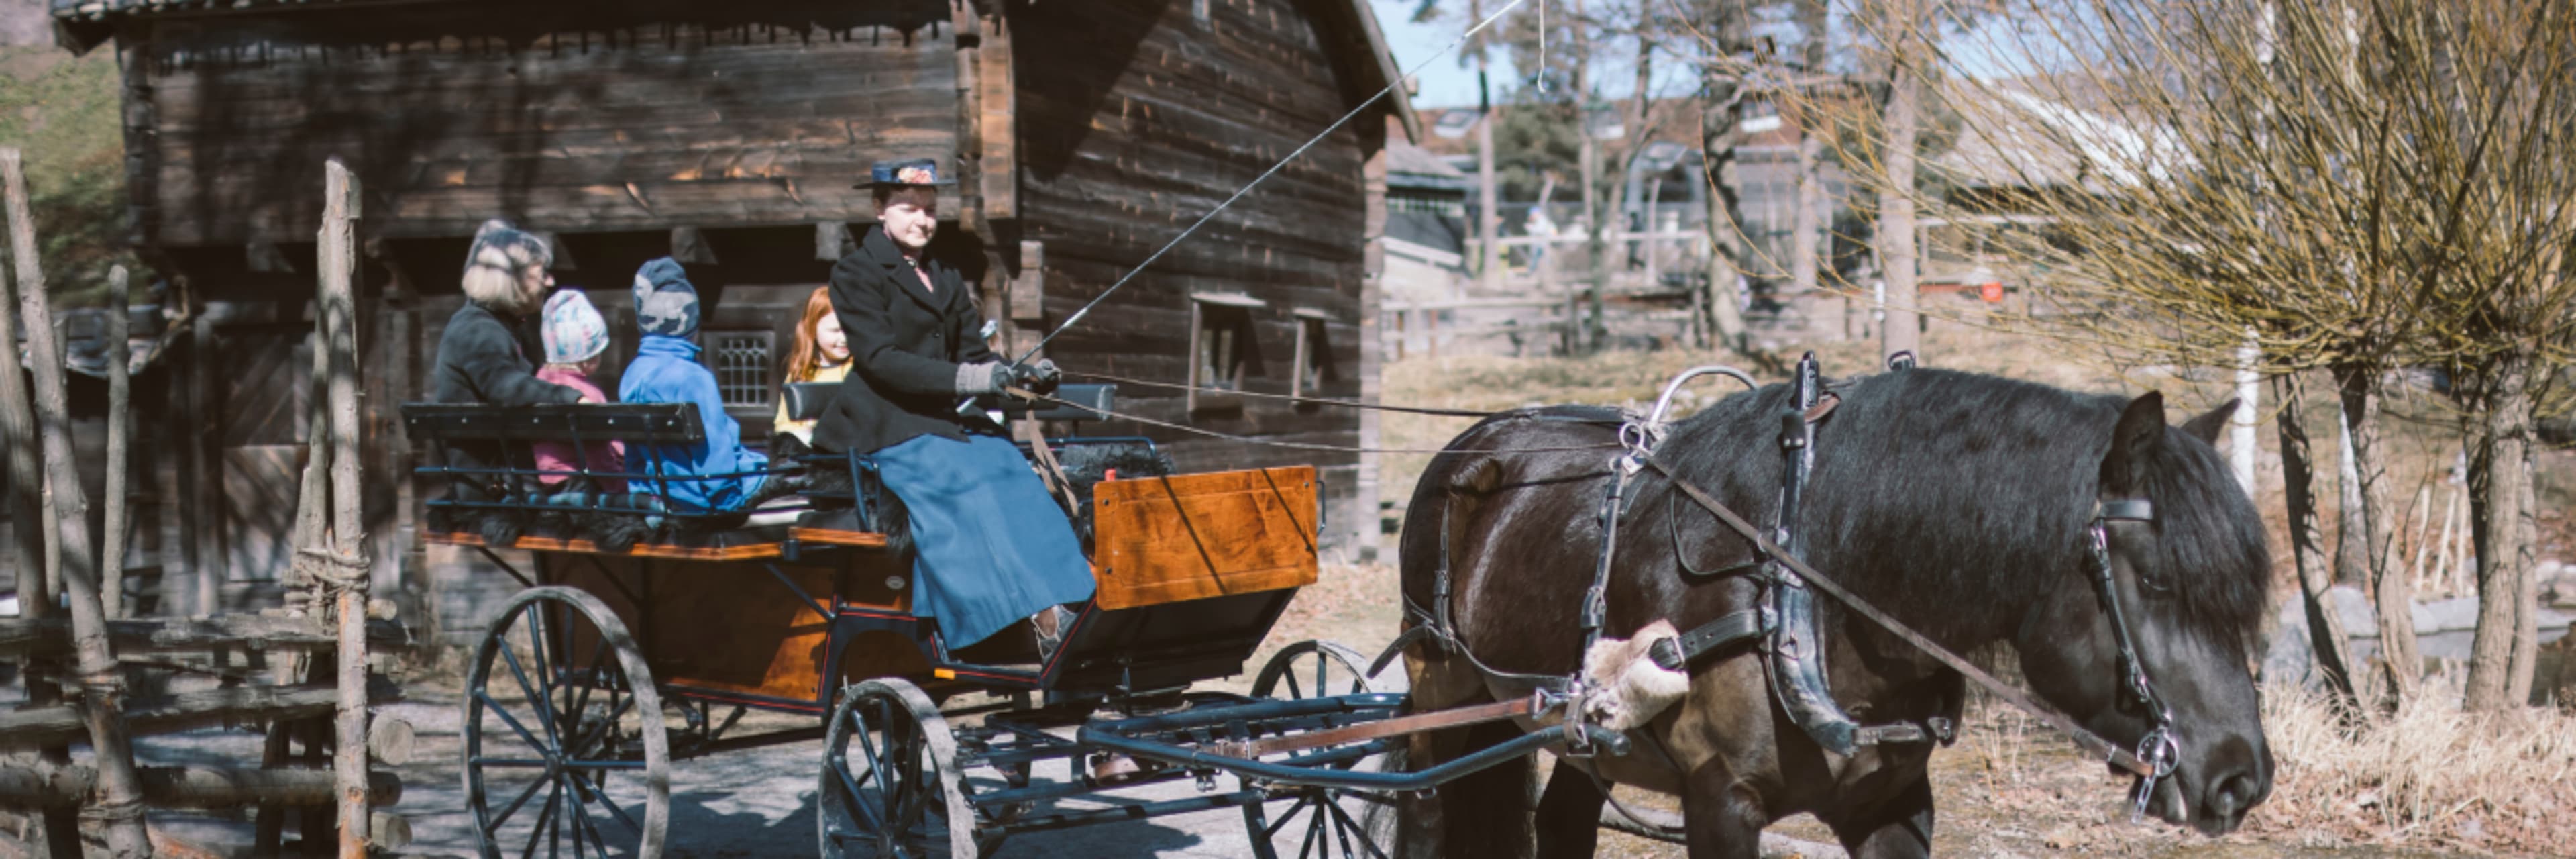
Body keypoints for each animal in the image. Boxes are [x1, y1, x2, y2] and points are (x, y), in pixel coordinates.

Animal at [1401, 368, 2267, 856]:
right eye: (2157, 581)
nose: (2243, 777)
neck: (1800, 596)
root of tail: (1485, 433)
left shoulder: (1894, 804)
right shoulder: (1721, 802)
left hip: (1585, 735)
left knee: (1562, 820)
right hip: (1440, 687)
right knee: (1422, 803)